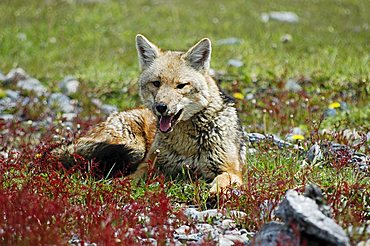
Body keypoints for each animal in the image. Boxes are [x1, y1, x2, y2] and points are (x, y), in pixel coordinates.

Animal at [57, 34, 246, 192]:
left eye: (181, 86)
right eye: (156, 83)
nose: (161, 107)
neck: (185, 146)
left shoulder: (231, 170)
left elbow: (222, 181)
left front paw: (214, 193)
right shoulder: (148, 165)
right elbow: (129, 178)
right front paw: (114, 185)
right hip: (134, 146)